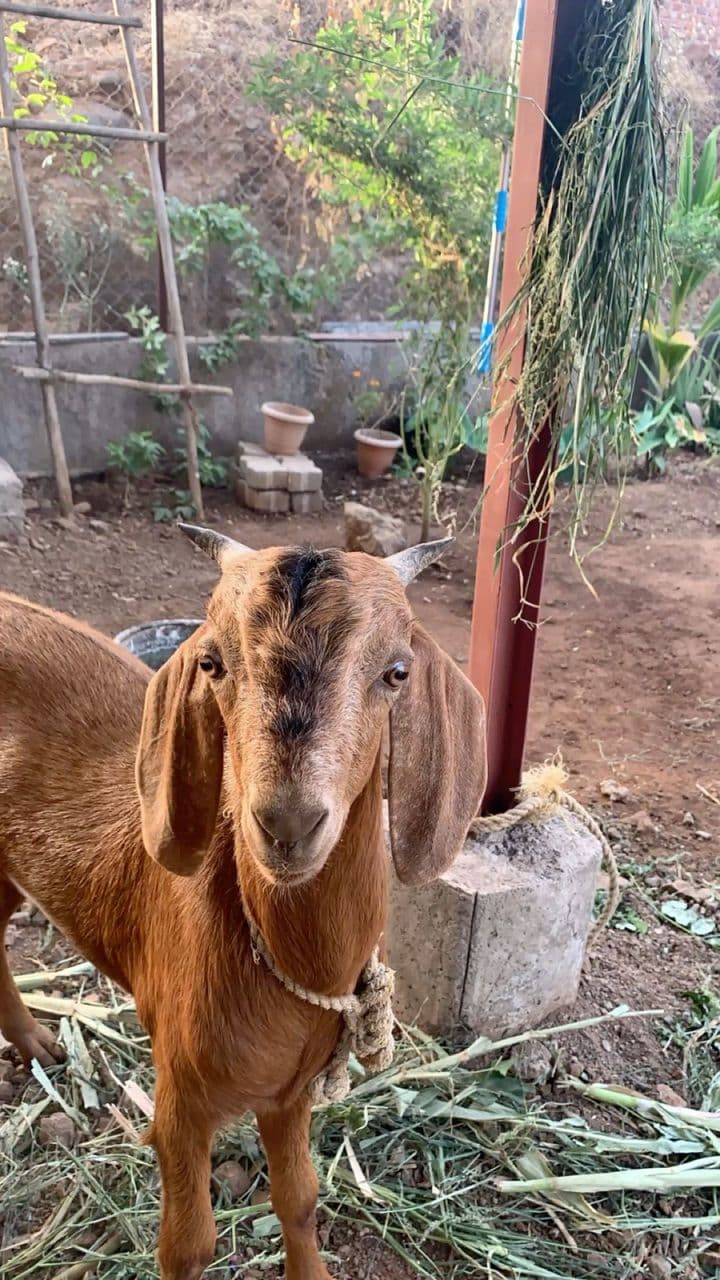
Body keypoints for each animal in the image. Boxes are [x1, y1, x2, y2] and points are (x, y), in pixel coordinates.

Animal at [0, 526, 486, 1280]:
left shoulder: (291, 1096)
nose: (287, 824)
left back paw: (40, 1045)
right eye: (211, 662)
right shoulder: (178, 1103)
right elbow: (188, 1246)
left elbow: (301, 1200)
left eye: (397, 672)